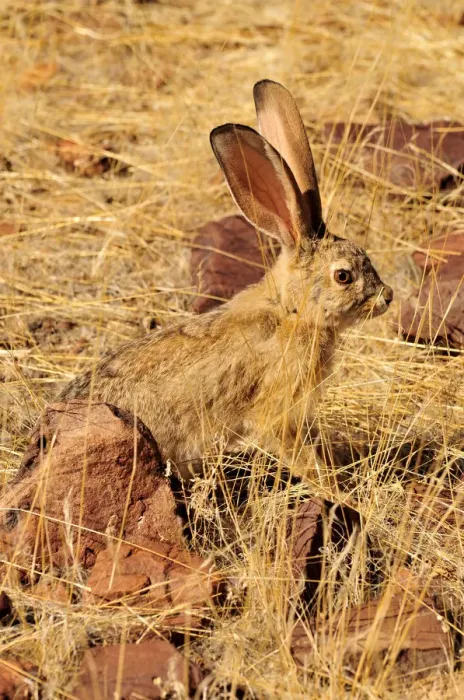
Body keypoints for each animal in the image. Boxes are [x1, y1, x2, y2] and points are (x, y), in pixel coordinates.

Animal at [59, 79, 393, 480]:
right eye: (343, 276)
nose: (388, 297)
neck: (289, 312)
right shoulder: (277, 409)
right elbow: (295, 450)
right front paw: (330, 484)